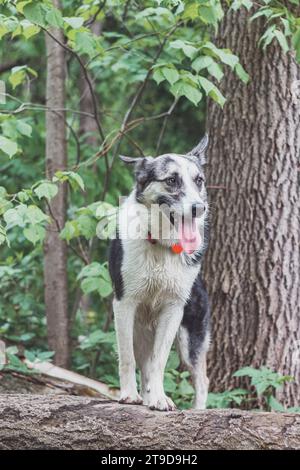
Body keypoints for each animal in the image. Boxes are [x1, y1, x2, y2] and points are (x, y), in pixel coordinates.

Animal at [109, 134, 210, 410]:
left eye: (199, 180)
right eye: (171, 180)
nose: (199, 208)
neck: (161, 245)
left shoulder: (173, 310)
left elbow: (159, 361)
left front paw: (160, 399)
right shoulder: (124, 304)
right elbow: (127, 359)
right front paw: (129, 395)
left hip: (190, 338)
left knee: (202, 379)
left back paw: (196, 410)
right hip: (140, 331)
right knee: (141, 364)